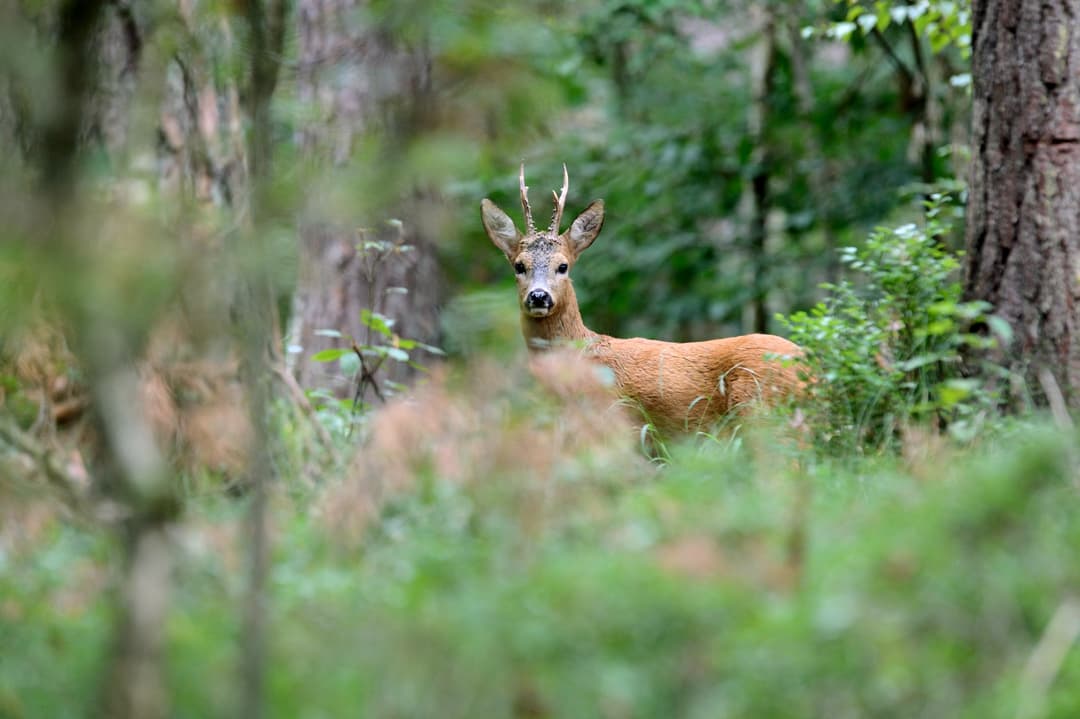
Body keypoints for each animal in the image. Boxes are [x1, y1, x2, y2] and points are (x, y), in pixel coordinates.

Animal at [481, 165, 803, 433]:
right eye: (518, 265)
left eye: (563, 266)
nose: (539, 296)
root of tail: (808, 367)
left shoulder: (611, 421)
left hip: (762, 412)